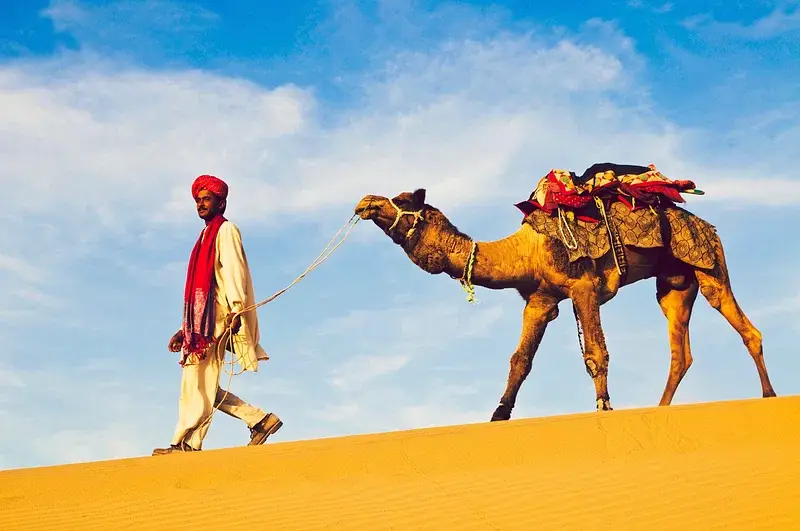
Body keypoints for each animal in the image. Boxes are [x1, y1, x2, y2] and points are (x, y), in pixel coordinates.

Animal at [353, 187, 777, 421]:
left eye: (402, 201)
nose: (365, 202)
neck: (527, 251)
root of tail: (709, 226)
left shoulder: (583, 286)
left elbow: (595, 354)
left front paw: (604, 407)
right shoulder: (540, 300)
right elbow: (520, 361)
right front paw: (498, 415)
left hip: (709, 263)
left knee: (745, 326)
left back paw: (770, 397)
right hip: (673, 285)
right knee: (681, 353)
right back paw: (660, 408)